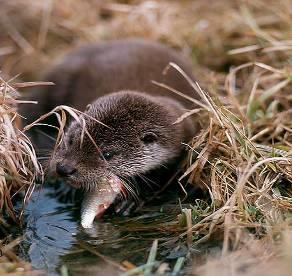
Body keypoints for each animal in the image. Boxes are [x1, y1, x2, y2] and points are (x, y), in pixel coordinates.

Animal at [20, 39, 198, 229]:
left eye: (107, 154)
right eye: (72, 139)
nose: (64, 168)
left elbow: (164, 181)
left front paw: (132, 201)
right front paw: (65, 188)